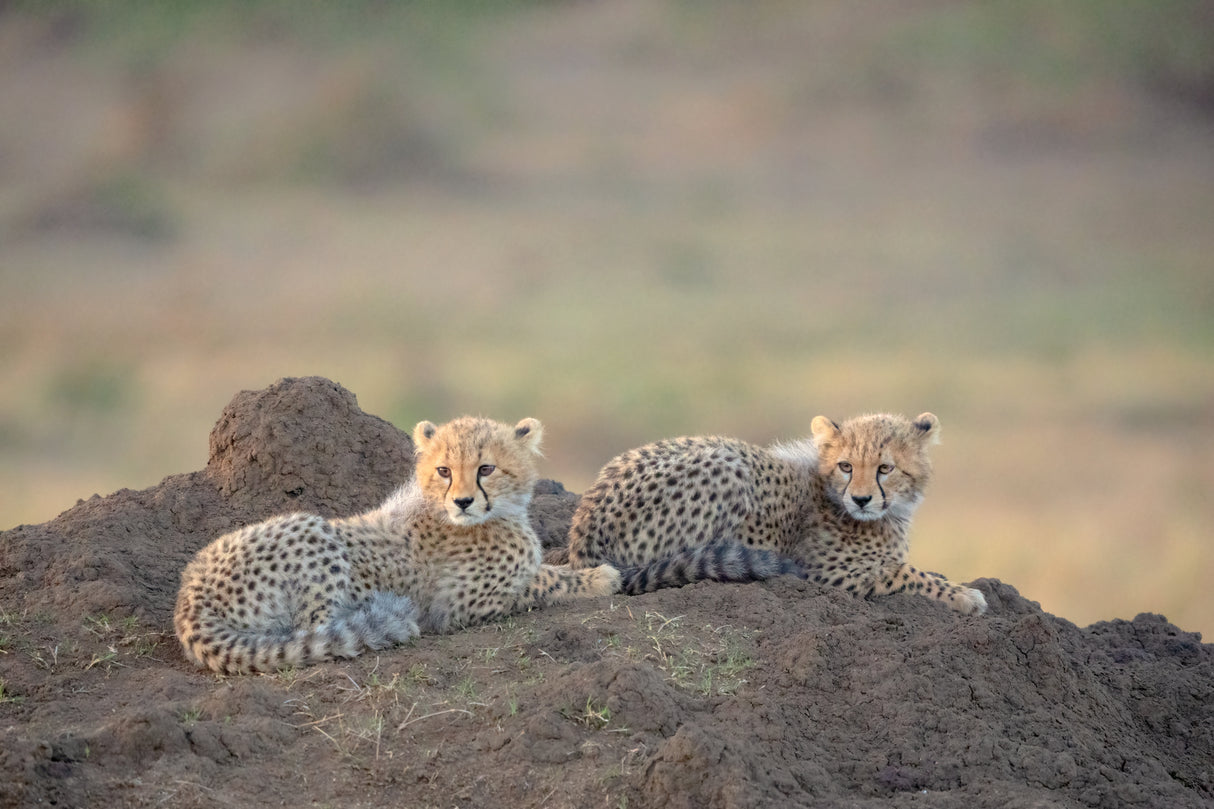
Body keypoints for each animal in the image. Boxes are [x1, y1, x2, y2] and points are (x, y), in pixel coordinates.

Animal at [175, 415, 621, 674]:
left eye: (486, 468)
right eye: (444, 470)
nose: (463, 501)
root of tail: (188, 594)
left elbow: (546, 572)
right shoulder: (460, 605)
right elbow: (541, 583)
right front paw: (600, 578)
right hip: (310, 527)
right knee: (314, 631)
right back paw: (380, 619)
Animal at [561, 412, 986, 615]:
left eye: (885, 468)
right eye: (846, 466)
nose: (862, 500)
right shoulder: (825, 573)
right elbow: (904, 573)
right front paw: (966, 596)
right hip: (727, 463)